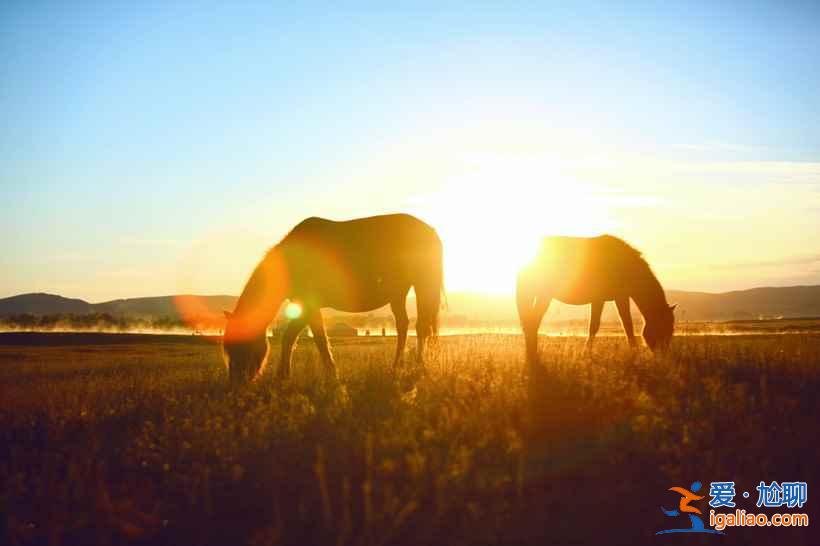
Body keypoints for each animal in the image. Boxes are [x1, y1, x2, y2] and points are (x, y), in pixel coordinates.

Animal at [223, 212, 442, 382]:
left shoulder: (308, 304)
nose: (236, 382)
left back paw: (418, 367)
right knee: (404, 325)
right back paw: (397, 366)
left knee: (421, 327)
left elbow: (305, 338)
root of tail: (430, 230)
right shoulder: (305, 306)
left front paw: (328, 375)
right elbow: (300, 338)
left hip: (423, 286)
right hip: (398, 293)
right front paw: (286, 375)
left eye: (240, 345)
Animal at [516, 233, 676, 362]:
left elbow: (625, 324)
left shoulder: (618, 297)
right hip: (544, 295)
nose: (663, 356)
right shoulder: (604, 299)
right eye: (663, 326)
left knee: (530, 321)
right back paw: (532, 354)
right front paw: (586, 353)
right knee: (533, 320)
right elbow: (602, 325)